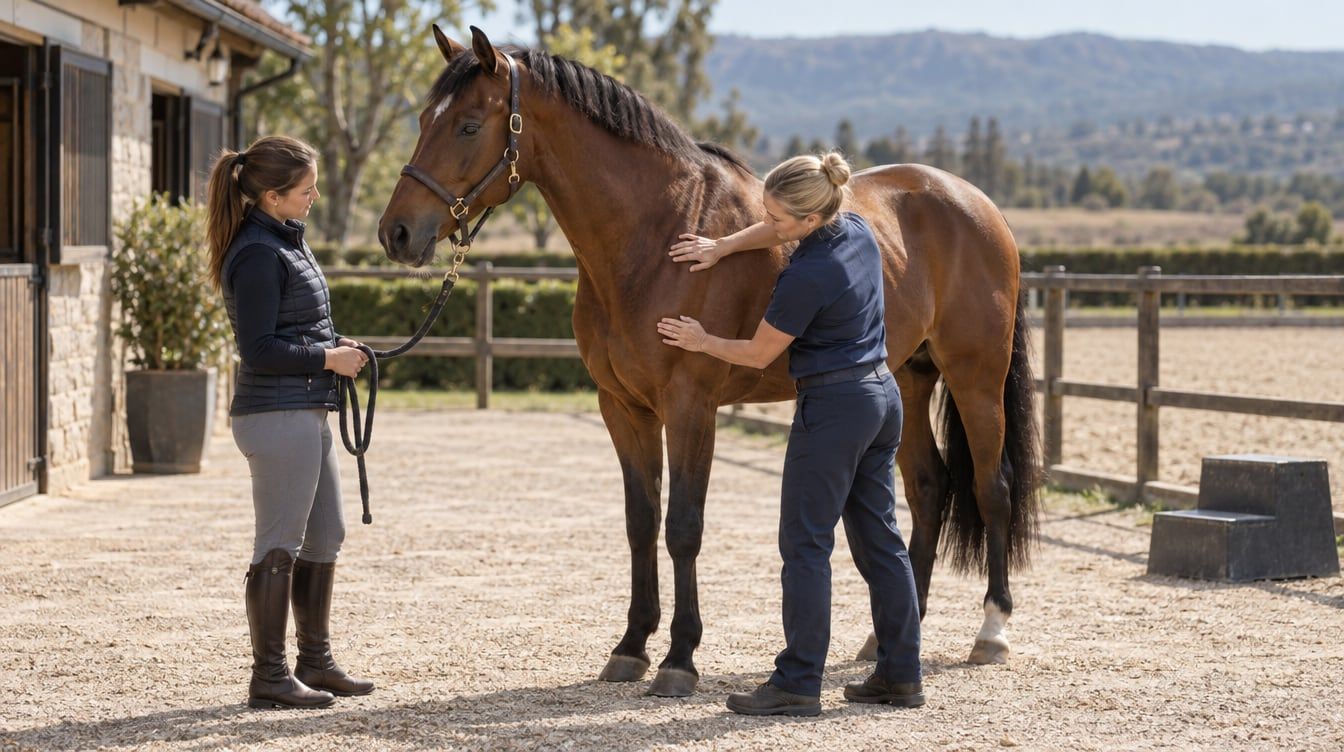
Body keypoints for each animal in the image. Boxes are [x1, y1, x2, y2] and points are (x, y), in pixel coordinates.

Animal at [378, 26, 1041, 697]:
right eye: (423, 119)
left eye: (468, 125)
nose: (396, 233)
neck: (655, 236)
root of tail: (979, 206)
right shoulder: (623, 408)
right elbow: (641, 521)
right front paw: (631, 647)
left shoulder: (691, 407)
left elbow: (683, 527)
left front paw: (679, 659)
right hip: (907, 378)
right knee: (929, 487)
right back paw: (888, 638)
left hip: (975, 378)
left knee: (991, 487)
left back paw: (992, 632)